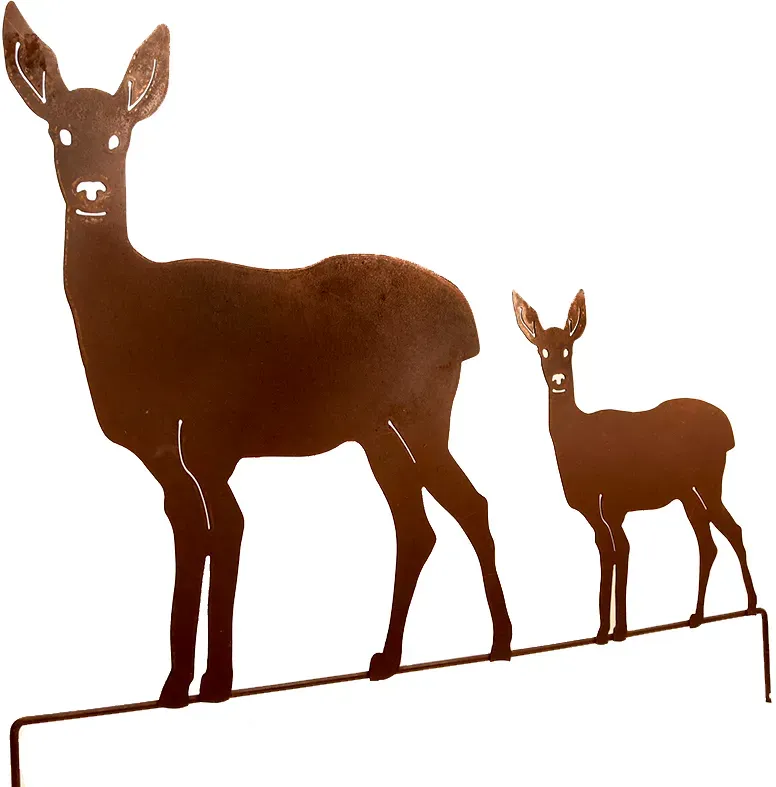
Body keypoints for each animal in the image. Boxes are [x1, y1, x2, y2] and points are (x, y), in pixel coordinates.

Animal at [2, 2, 513, 708]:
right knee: (418, 523)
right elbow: (190, 534)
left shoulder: (211, 436)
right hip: (374, 427)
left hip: (421, 408)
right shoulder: (164, 450)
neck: (134, 315)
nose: (92, 192)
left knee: (468, 504)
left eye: (119, 137)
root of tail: (470, 325)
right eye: (60, 131)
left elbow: (229, 529)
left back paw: (500, 641)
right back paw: (388, 657)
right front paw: (175, 684)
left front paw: (216, 680)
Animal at [511, 289, 757, 643]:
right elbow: (608, 551)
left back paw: (750, 603)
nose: (558, 379)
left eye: (568, 349)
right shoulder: (594, 509)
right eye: (542, 350)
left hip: (709, 480)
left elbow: (621, 550)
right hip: (687, 492)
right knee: (708, 542)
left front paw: (618, 630)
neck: (576, 439)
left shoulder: (613, 503)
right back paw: (697, 615)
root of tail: (729, 431)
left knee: (732, 530)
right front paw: (604, 630)